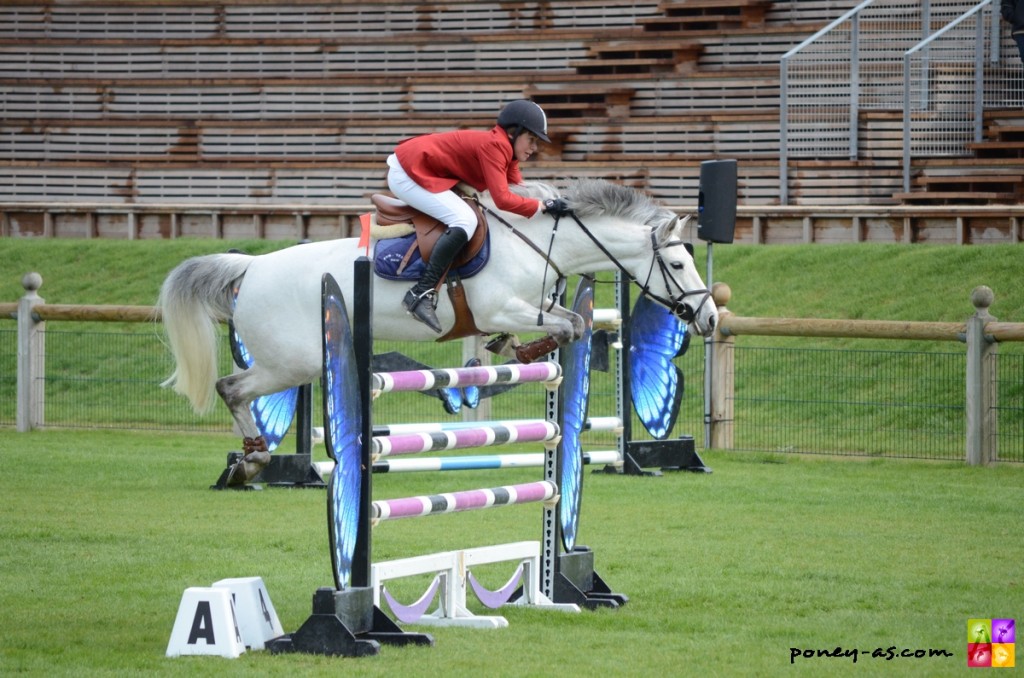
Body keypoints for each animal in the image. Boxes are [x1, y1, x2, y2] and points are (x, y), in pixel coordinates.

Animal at [161, 180, 720, 485]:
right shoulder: (504, 306)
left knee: (234, 389)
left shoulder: (529, 306)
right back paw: (252, 462)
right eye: (676, 263)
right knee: (231, 388)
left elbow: (569, 324)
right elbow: (569, 325)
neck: (540, 242)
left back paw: (250, 462)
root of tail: (250, 267)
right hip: (293, 362)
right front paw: (526, 347)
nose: (710, 318)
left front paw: (515, 349)